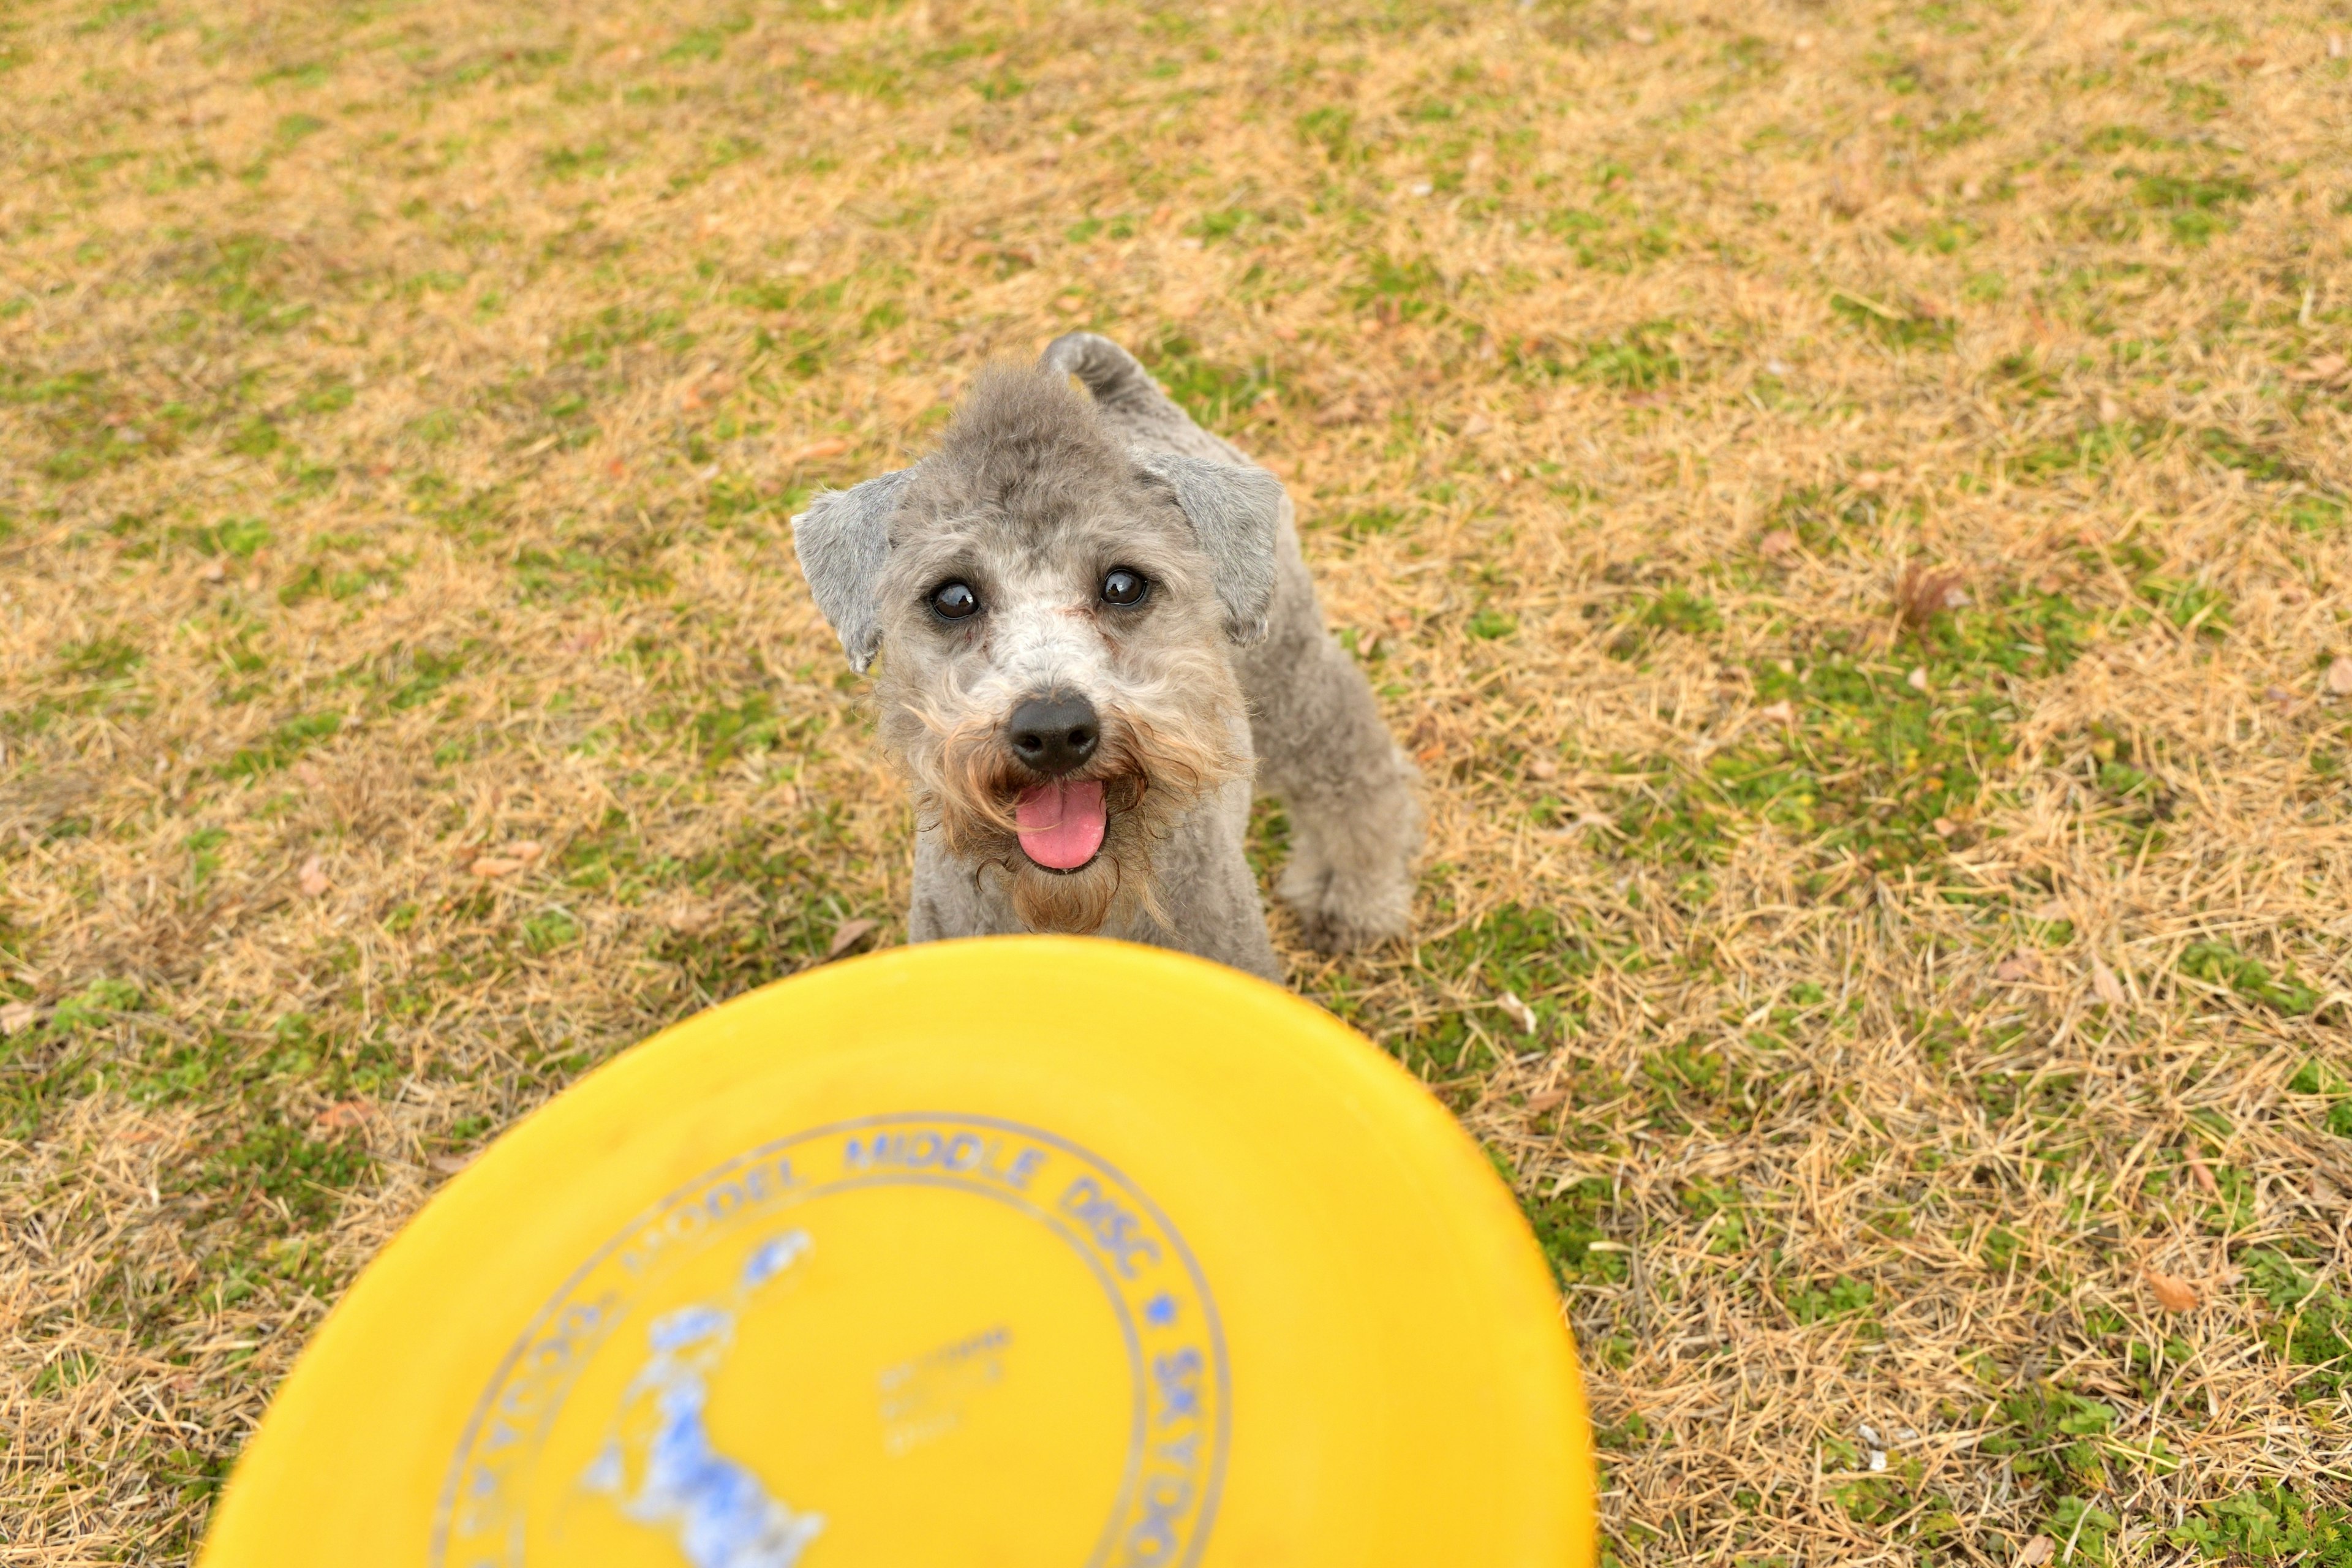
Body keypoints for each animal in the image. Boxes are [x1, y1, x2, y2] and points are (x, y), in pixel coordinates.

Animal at [790, 334, 1411, 982]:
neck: (1075, 909)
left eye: (1122, 584)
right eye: (954, 597)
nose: (1054, 732)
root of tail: (1132, 399)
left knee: (1354, 767)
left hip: (1291, 667)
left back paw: (1352, 898)